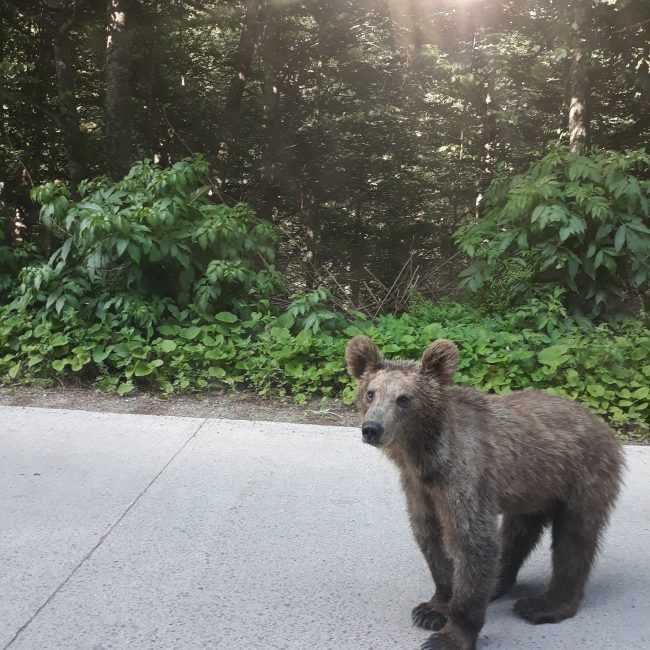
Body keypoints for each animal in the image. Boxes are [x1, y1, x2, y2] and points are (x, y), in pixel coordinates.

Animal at [344, 334, 624, 648]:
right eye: (371, 393)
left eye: (404, 399)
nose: (372, 428)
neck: (424, 455)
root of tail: (602, 425)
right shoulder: (419, 488)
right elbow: (430, 536)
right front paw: (432, 609)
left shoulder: (465, 477)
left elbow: (472, 542)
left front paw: (449, 636)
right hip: (533, 487)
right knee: (517, 533)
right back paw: (499, 583)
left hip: (582, 477)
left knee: (574, 538)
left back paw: (544, 605)